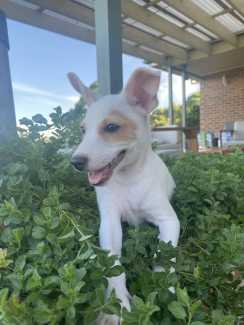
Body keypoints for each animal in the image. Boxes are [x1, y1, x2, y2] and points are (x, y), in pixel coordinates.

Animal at [67, 67, 180, 322]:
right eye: (82, 130)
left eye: (111, 127)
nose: (76, 162)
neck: (129, 179)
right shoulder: (110, 224)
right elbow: (114, 268)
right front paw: (117, 304)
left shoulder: (169, 221)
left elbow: (165, 255)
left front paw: (165, 286)